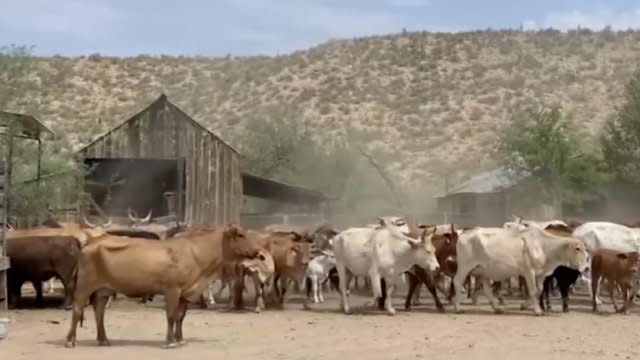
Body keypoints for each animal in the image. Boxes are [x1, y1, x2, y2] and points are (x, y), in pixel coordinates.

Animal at [63, 224, 262, 348]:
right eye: (241, 235)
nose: (258, 252)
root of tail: (92, 242)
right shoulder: (172, 289)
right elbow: (172, 316)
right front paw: (170, 341)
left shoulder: (186, 292)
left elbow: (181, 316)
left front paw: (179, 339)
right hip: (84, 286)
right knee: (78, 308)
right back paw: (70, 340)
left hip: (103, 289)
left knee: (99, 312)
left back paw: (103, 339)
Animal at [452, 219, 588, 316]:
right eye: (577, 248)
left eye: (585, 249)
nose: (586, 267)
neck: (543, 245)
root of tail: (464, 234)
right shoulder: (529, 271)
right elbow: (533, 290)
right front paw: (537, 311)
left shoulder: (541, 274)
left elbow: (539, 290)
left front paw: (524, 306)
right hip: (465, 266)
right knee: (457, 282)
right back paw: (458, 308)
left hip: (483, 271)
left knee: (487, 289)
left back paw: (497, 308)